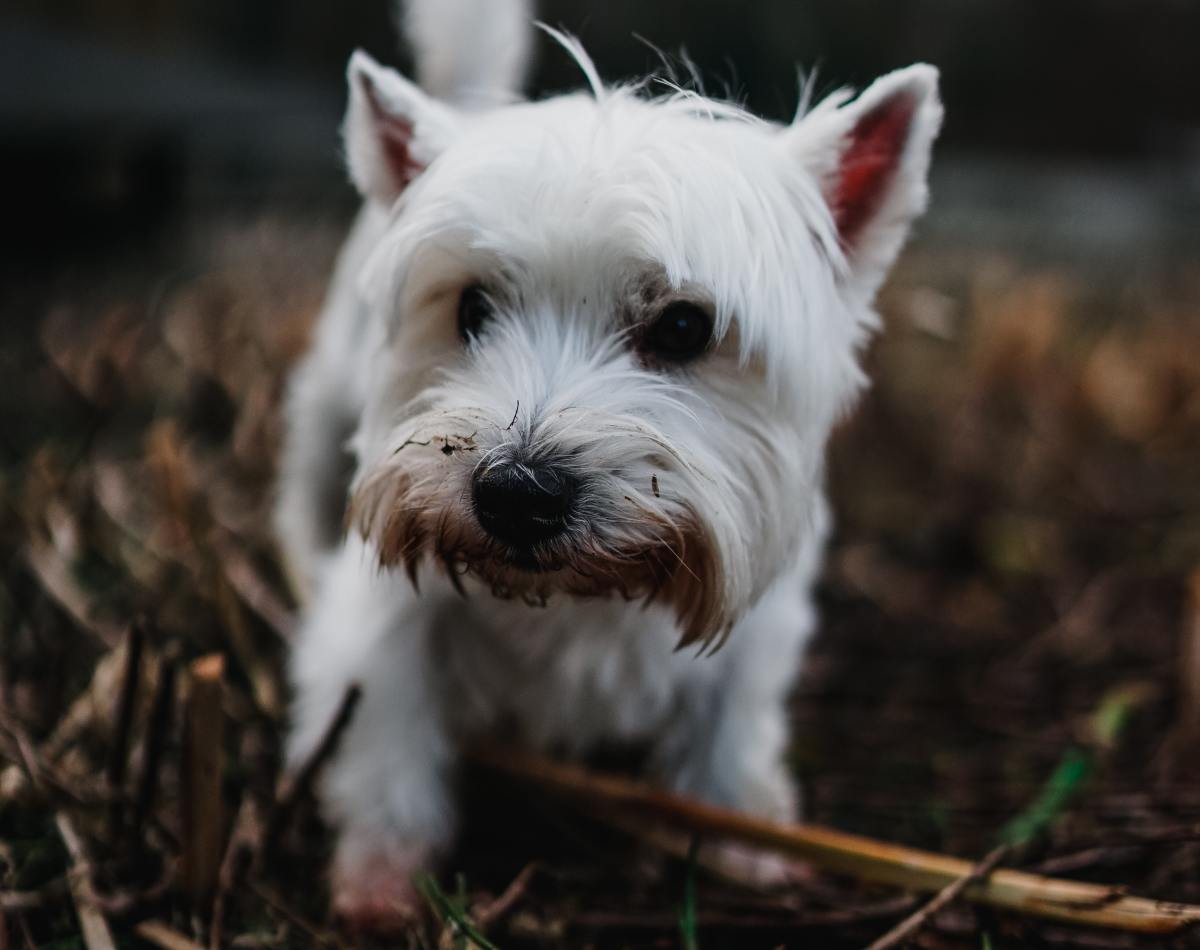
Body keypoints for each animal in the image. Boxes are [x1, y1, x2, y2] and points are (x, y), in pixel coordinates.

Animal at [276, 0, 940, 926]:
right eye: (472, 307)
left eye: (685, 326)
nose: (516, 494)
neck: (573, 595)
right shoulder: (383, 623)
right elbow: (386, 740)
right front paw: (380, 883)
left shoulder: (757, 625)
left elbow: (731, 736)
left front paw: (746, 843)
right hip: (328, 401)